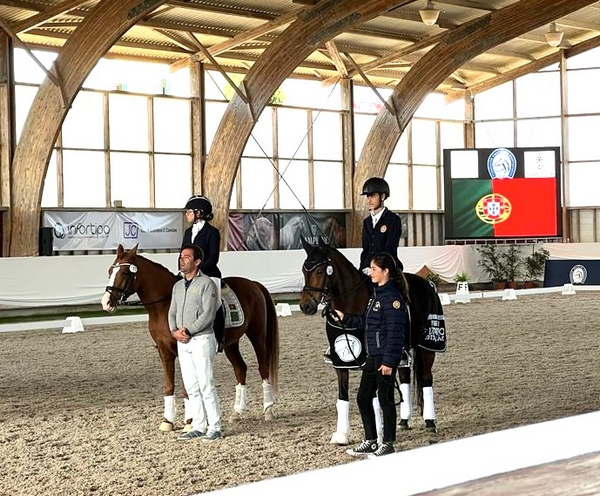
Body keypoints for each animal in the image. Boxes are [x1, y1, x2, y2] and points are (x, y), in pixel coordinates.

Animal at [100, 243, 279, 431]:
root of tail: (253, 284)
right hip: (231, 343)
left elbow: (187, 387)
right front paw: (167, 421)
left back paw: (268, 410)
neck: (164, 306)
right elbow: (169, 385)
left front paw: (190, 422)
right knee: (240, 369)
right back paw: (237, 413)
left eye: (125, 272)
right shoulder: (164, 351)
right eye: (110, 271)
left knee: (263, 368)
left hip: (257, 336)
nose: (106, 302)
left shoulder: (182, 349)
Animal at [299, 238, 446, 445]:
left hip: (428, 346)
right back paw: (403, 421)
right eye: (304, 270)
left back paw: (430, 422)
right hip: (401, 350)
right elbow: (343, 396)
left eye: (320, 271)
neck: (352, 303)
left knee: (426, 379)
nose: (305, 306)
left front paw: (377, 433)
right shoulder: (340, 361)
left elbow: (373, 399)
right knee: (405, 378)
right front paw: (341, 435)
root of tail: (428, 284)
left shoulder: (368, 360)